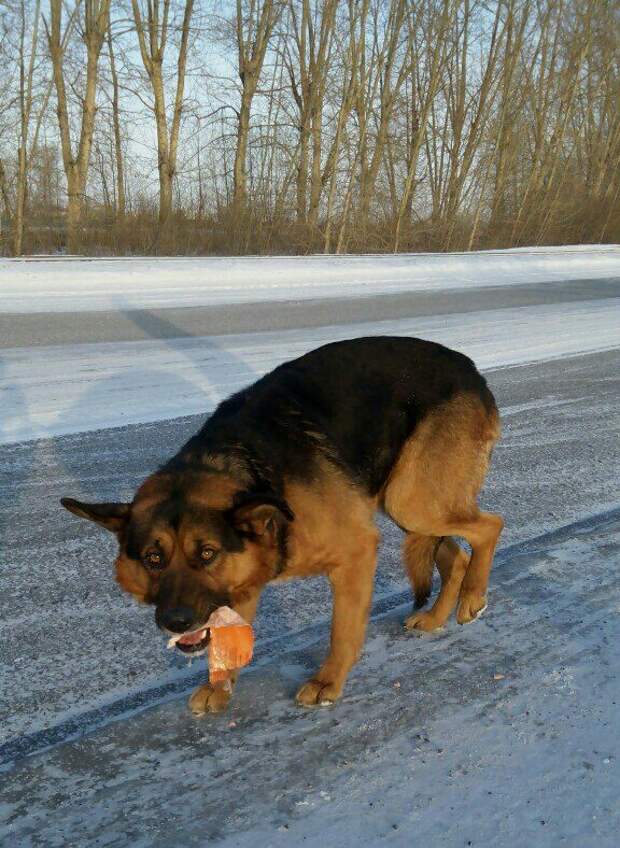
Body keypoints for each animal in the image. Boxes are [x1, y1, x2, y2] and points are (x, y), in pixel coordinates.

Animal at [60, 338, 502, 716]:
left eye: (207, 553)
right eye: (153, 558)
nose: (177, 622)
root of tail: (469, 368)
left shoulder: (356, 553)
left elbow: (342, 630)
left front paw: (327, 681)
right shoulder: (239, 587)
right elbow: (225, 640)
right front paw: (220, 686)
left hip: (411, 502)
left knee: (490, 526)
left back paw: (472, 598)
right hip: (408, 504)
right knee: (455, 556)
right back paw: (437, 617)